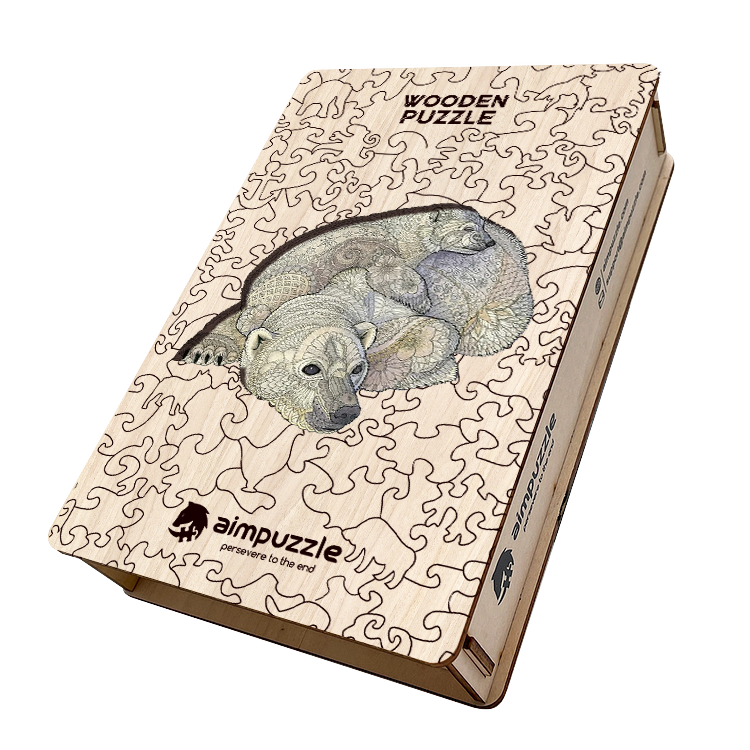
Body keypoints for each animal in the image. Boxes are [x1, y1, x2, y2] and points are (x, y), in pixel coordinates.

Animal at [177, 205, 533, 433]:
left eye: (481, 227)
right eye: (468, 228)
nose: (488, 240)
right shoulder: (369, 245)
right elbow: (385, 267)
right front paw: (418, 295)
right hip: (285, 278)